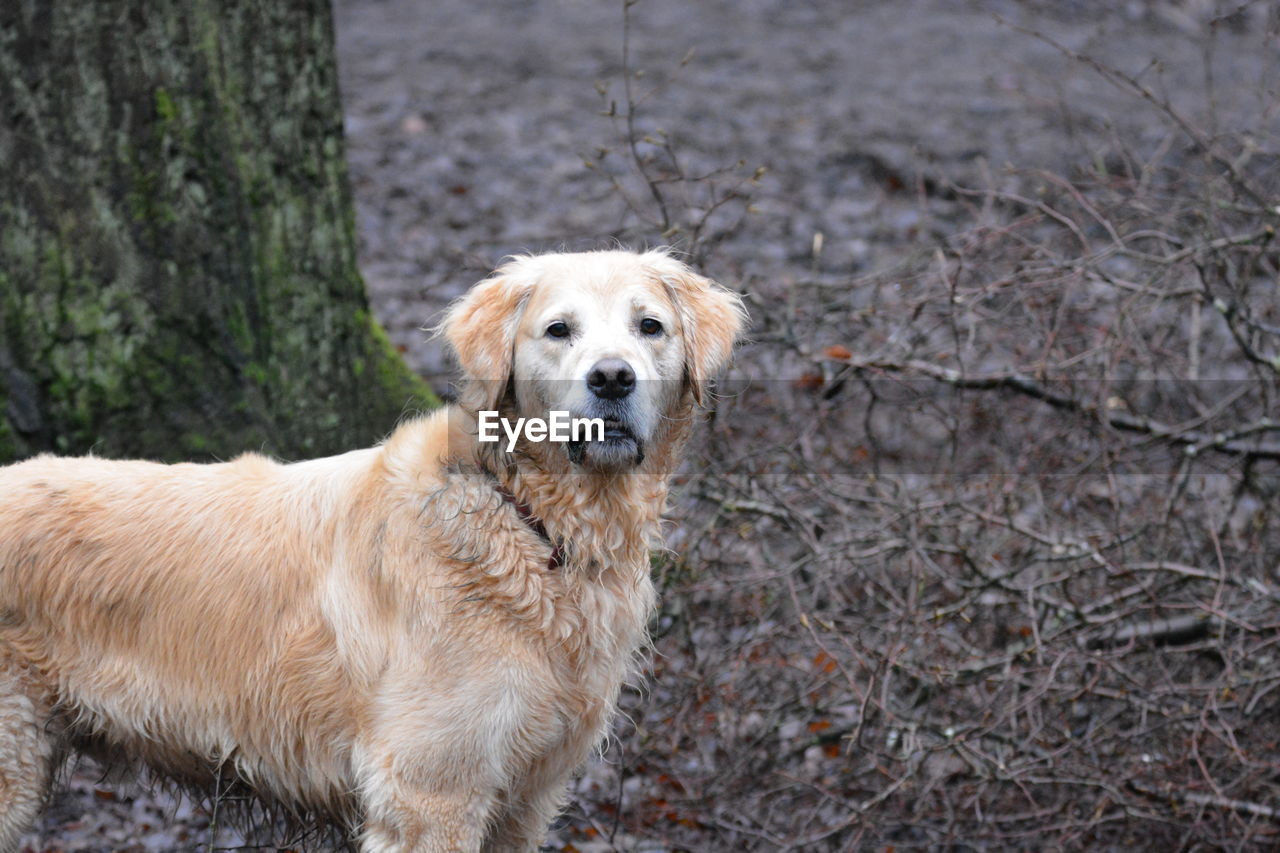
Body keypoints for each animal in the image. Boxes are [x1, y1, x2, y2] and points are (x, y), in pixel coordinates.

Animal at [0, 249, 747, 845]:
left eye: (649, 326)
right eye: (559, 329)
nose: (613, 378)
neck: (531, 521)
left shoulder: (526, 797)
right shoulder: (431, 793)